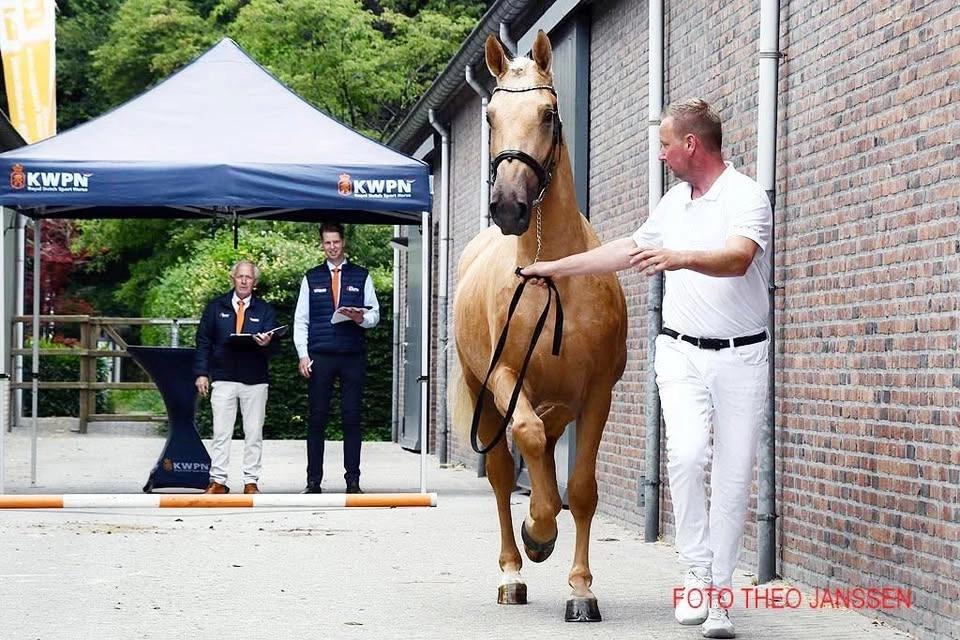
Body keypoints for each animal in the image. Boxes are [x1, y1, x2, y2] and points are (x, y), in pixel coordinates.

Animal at [449, 30, 628, 621]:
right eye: (490, 116)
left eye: (548, 113)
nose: (508, 207)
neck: (552, 277)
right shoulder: (507, 378)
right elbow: (526, 451)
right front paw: (538, 532)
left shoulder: (596, 392)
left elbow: (582, 487)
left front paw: (581, 590)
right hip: (484, 394)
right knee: (505, 475)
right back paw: (513, 571)